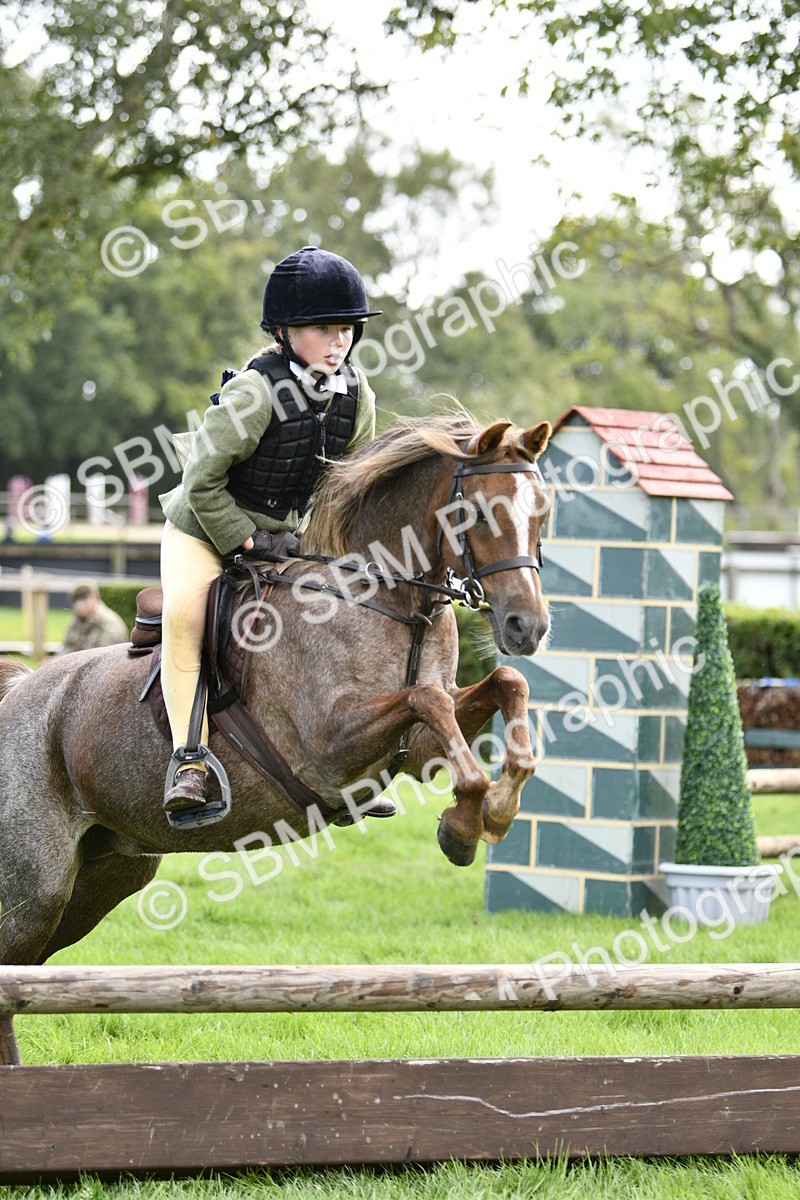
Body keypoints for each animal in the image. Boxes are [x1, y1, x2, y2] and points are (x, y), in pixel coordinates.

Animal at [0, 412, 551, 1065]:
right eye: (481, 514)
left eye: (542, 511)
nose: (528, 626)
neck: (386, 599)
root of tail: (17, 692)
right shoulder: (332, 746)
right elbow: (430, 699)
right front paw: (465, 825)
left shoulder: (413, 750)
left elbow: (504, 685)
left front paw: (489, 811)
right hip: (36, 887)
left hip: (103, 877)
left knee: (26, 972)